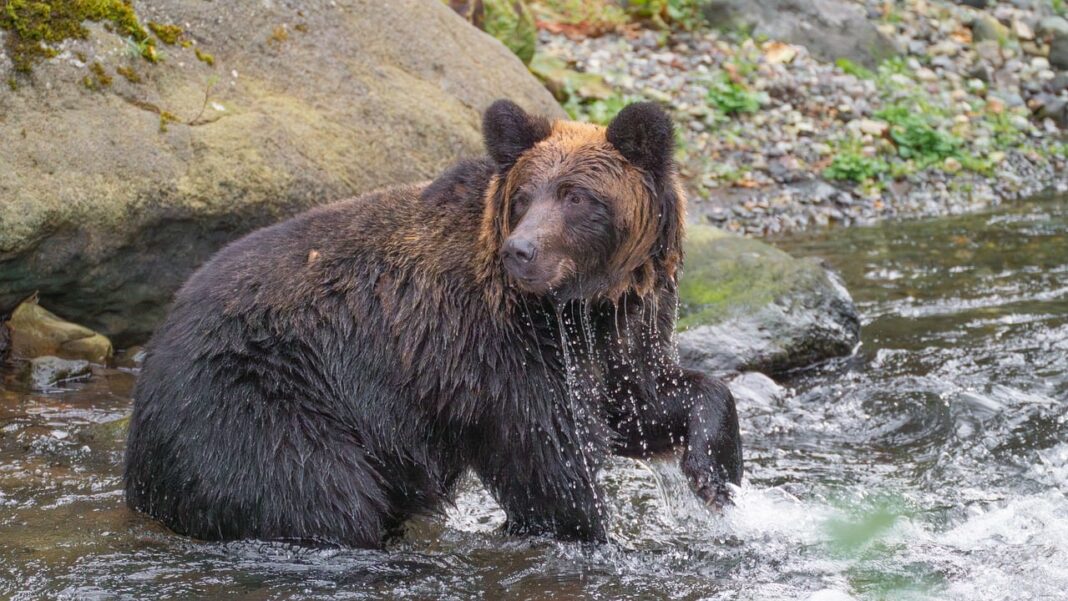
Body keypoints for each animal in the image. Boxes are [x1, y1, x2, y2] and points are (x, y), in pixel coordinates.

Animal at [124, 100, 743, 547]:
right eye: (524, 197)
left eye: (576, 196)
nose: (521, 251)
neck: (577, 306)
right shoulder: (494, 350)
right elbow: (551, 454)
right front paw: (588, 527)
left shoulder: (617, 333)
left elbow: (645, 399)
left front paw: (715, 476)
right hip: (258, 405)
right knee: (318, 493)